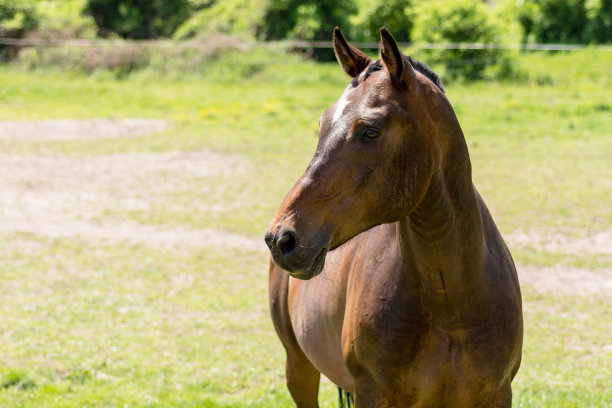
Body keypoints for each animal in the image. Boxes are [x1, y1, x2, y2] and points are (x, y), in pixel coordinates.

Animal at [262, 27, 520, 406]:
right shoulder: (372, 393)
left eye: (371, 131)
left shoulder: (496, 394)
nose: (282, 238)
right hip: (299, 368)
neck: (450, 302)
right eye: (323, 123)